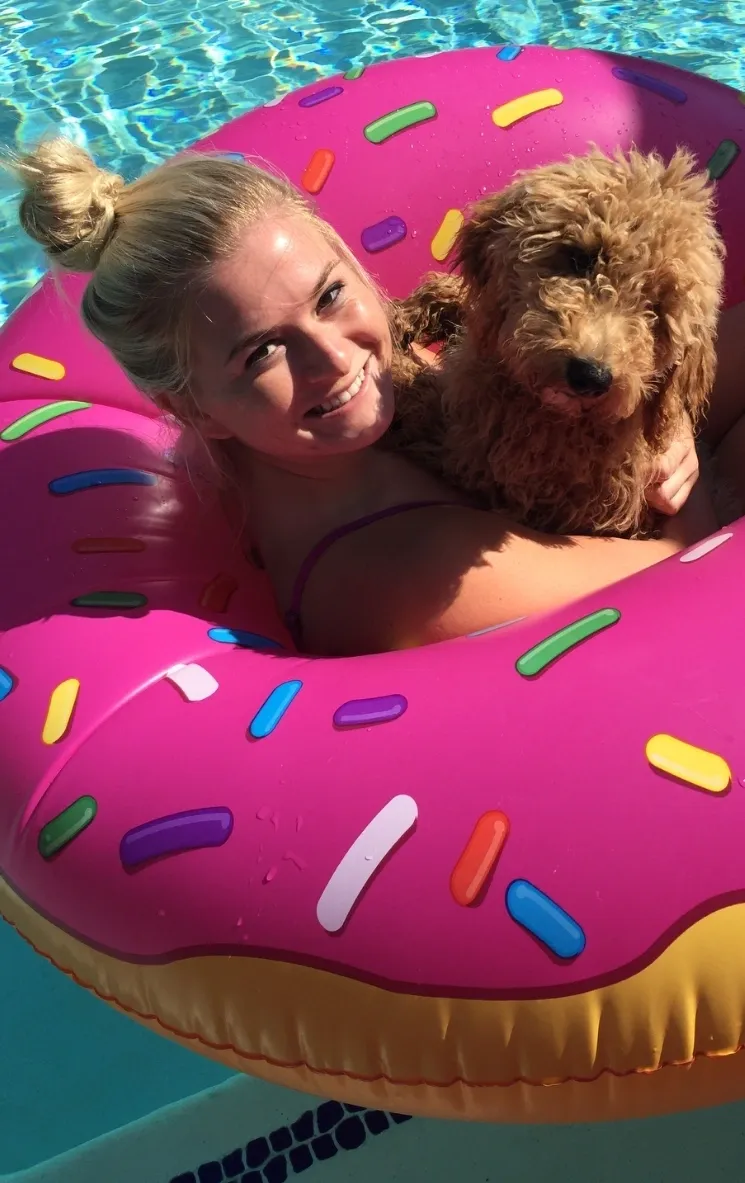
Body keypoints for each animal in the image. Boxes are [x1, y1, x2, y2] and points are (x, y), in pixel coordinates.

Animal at [387, 143, 728, 537]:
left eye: (658, 308)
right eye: (580, 258)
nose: (590, 376)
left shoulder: (477, 455)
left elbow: (414, 395)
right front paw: (404, 314)